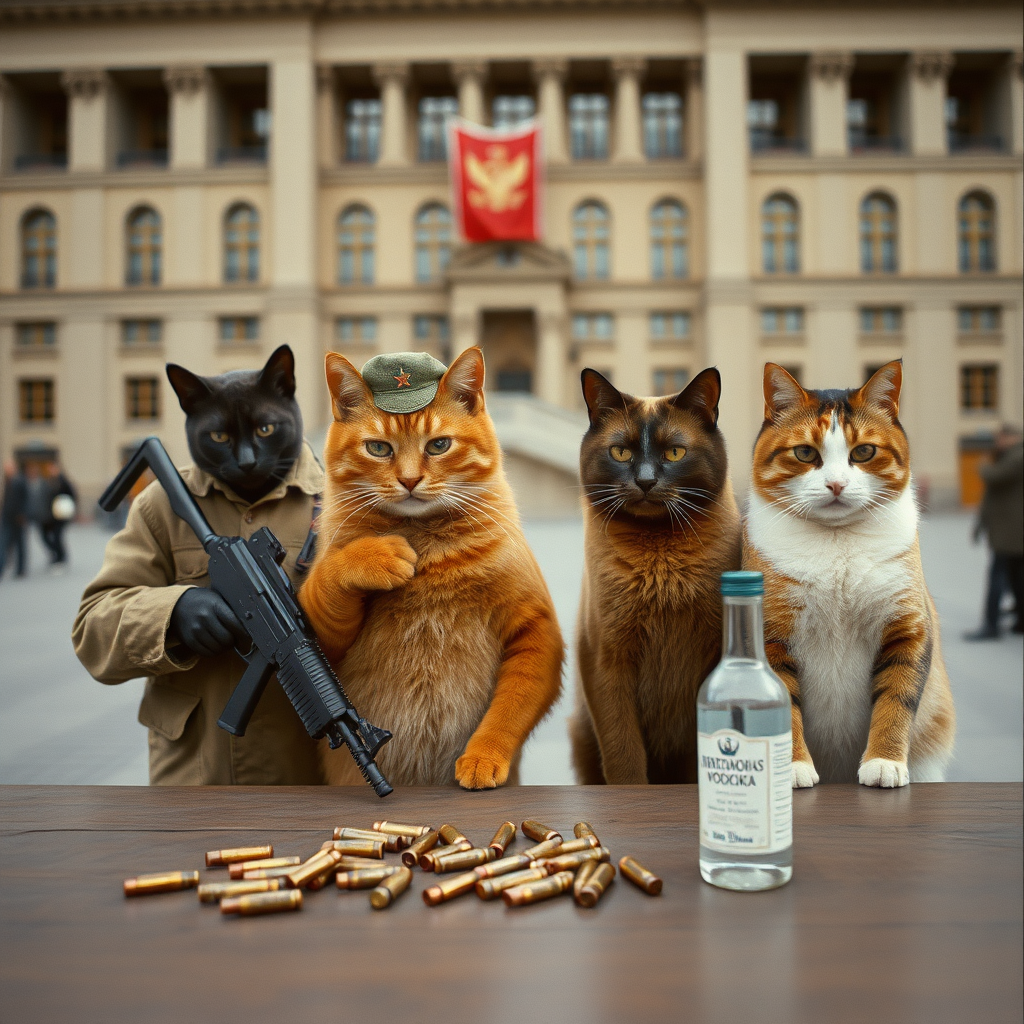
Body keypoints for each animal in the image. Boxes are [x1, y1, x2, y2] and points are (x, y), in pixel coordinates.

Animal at [299, 348, 565, 786]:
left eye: (439, 445)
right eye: (378, 449)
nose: (409, 480)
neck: (424, 542)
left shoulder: (536, 631)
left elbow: (509, 708)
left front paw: (482, 758)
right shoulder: (322, 639)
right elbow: (330, 575)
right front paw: (377, 556)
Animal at [745, 364, 950, 786]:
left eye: (865, 451)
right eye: (805, 452)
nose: (836, 484)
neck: (838, 544)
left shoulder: (907, 629)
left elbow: (895, 701)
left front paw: (884, 762)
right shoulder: (770, 635)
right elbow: (783, 707)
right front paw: (792, 768)